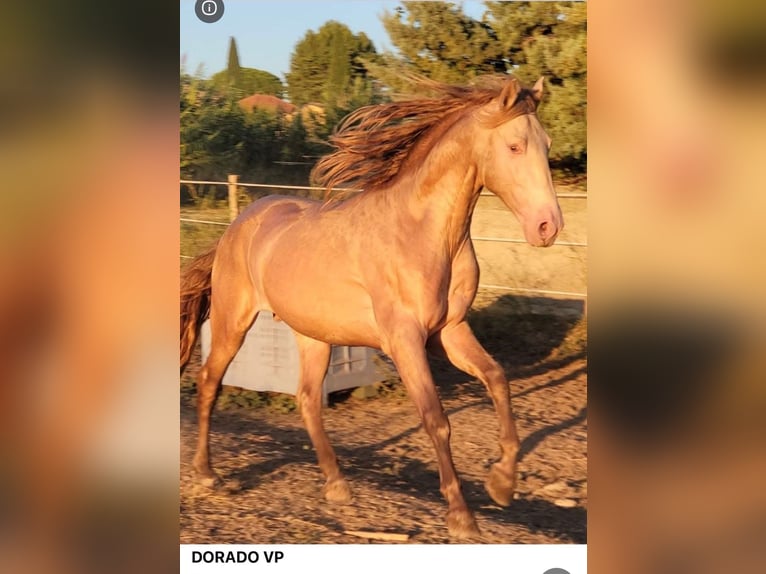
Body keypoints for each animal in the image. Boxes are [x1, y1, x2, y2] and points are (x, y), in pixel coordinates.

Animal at [180, 75, 563, 539]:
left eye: (545, 144)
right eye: (514, 146)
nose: (548, 227)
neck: (422, 232)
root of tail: (238, 224)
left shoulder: (449, 331)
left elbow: (497, 379)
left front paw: (502, 485)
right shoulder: (405, 341)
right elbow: (436, 418)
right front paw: (461, 516)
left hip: (313, 335)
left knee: (307, 399)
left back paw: (337, 485)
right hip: (232, 322)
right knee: (209, 382)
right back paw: (207, 475)